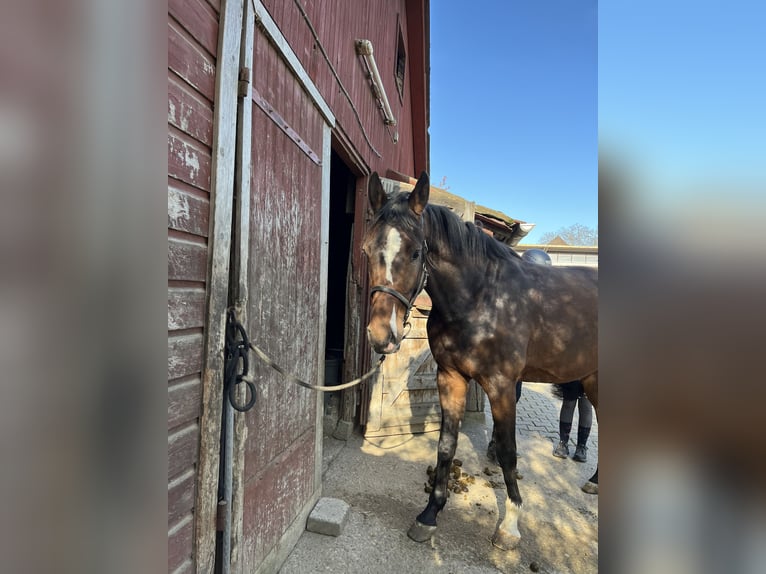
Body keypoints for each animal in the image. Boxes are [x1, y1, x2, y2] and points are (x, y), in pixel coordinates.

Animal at [364, 172, 604, 552]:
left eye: (415, 252)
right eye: (367, 250)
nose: (380, 335)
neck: (481, 298)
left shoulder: (502, 386)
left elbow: (507, 451)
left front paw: (510, 525)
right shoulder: (450, 378)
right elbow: (446, 445)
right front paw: (429, 514)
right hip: (593, 378)